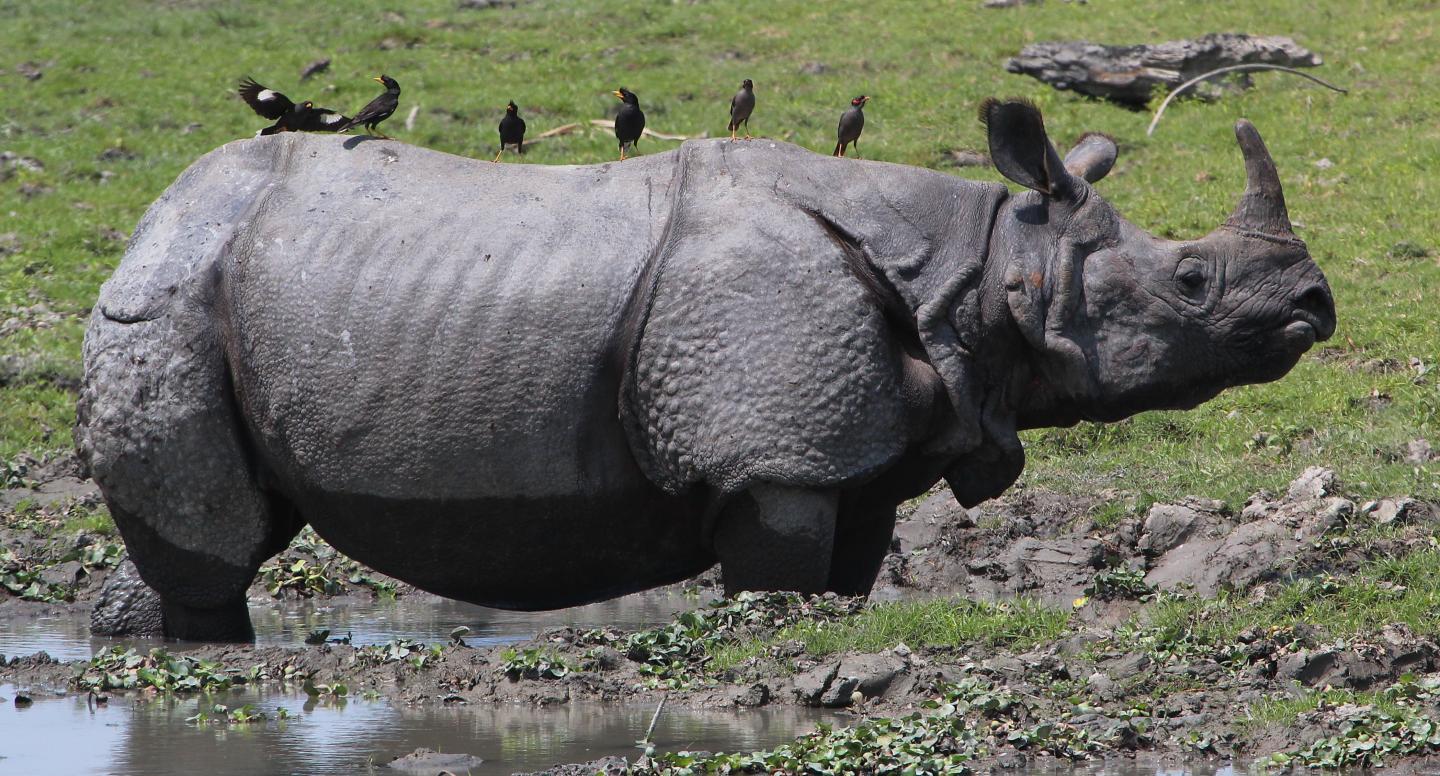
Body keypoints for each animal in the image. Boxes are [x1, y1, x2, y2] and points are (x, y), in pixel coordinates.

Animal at [77, 100, 1335, 640]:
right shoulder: (773, 451)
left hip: (222, 286)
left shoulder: (849, 457)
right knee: (214, 542)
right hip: (175, 301)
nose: (1314, 306)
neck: (979, 263)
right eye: (1190, 281)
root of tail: (151, 217)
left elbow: (842, 580)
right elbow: (774, 583)